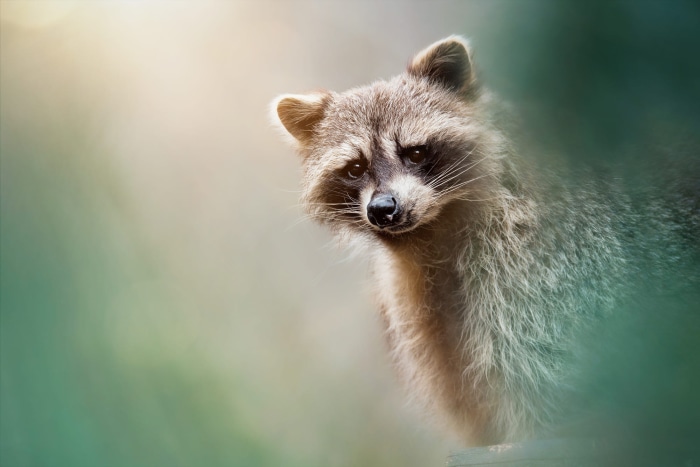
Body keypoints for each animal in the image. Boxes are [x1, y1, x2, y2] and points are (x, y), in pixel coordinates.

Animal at [271, 36, 700, 447]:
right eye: (355, 168)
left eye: (415, 152)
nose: (382, 209)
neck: (431, 238)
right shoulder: (427, 315)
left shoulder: (543, 271)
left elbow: (549, 373)